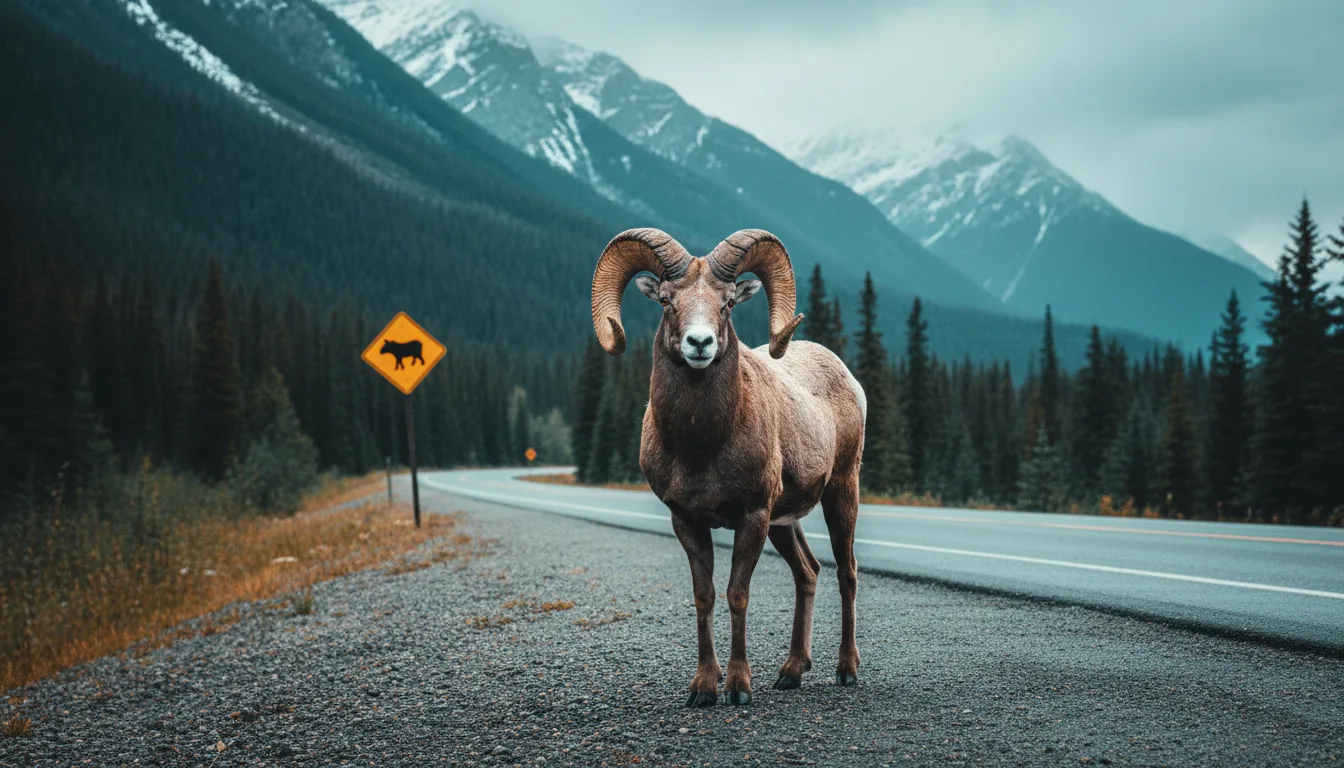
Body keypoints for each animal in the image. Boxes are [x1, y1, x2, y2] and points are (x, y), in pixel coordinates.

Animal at [590, 228, 865, 707]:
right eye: (667, 300)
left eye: (729, 303)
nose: (699, 344)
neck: (702, 447)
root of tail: (850, 379)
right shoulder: (687, 521)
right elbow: (705, 597)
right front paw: (703, 688)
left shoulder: (751, 517)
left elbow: (738, 594)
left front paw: (738, 687)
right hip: (783, 522)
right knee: (808, 572)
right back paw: (791, 672)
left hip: (840, 492)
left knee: (846, 573)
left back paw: (846, 670)